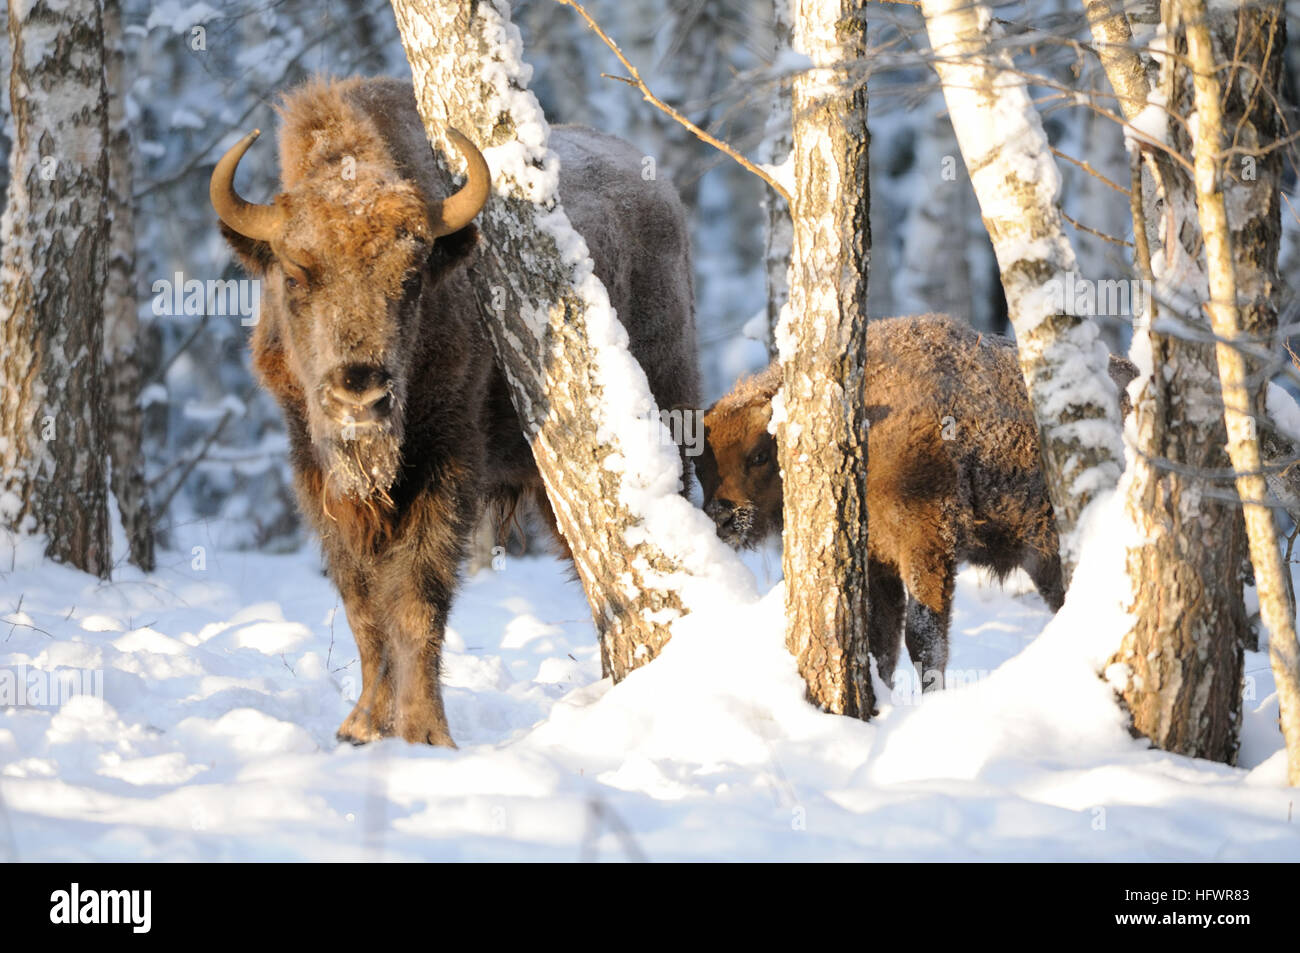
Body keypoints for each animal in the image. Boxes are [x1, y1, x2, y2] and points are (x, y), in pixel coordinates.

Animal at [213, 78, 702, 748]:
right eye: (295, 274)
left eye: (413, 277)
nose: (360, 395)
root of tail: (664, 195)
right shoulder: (314, 472)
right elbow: (360, 600)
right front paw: (361, 727)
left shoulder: (447, 465)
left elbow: (417, 598)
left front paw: (424, 733)